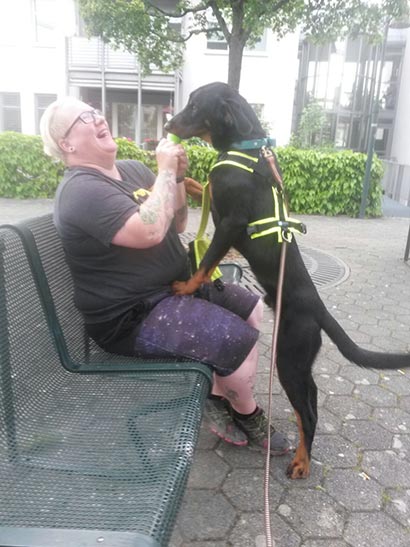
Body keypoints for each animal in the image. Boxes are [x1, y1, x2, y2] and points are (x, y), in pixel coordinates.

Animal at [165, 81, 410, 479]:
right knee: (311, 404)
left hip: (289, 359)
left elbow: (207, 262)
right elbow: (202, 186)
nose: (169, 123)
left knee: (306, 412)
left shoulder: (230, 224)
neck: (245, 145)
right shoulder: (217, 202)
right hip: (299, 361)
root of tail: (320, 310)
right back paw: (302, 453)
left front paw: (187, 286)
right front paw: (181, 178)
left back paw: (301, 463)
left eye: (196, 105)